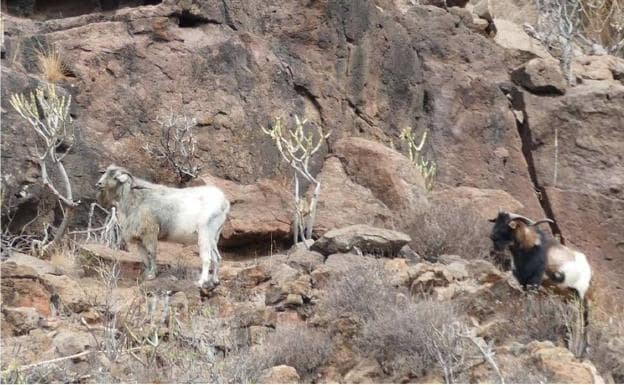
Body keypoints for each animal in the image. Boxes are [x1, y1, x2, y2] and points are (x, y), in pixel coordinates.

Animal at [98, 165, 230, 288]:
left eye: (115, 177)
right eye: (105, 173)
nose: (98, 184)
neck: (136, 199)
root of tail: (224, 203)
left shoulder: (150, 234)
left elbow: (152, 254)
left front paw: (152, 275)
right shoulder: (140, 239)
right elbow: (145, 258)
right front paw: (147, 274)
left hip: (204, 233)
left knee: (207, 258)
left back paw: (201, 282)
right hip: (214, 237)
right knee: (217, 258)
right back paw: (215, 281)